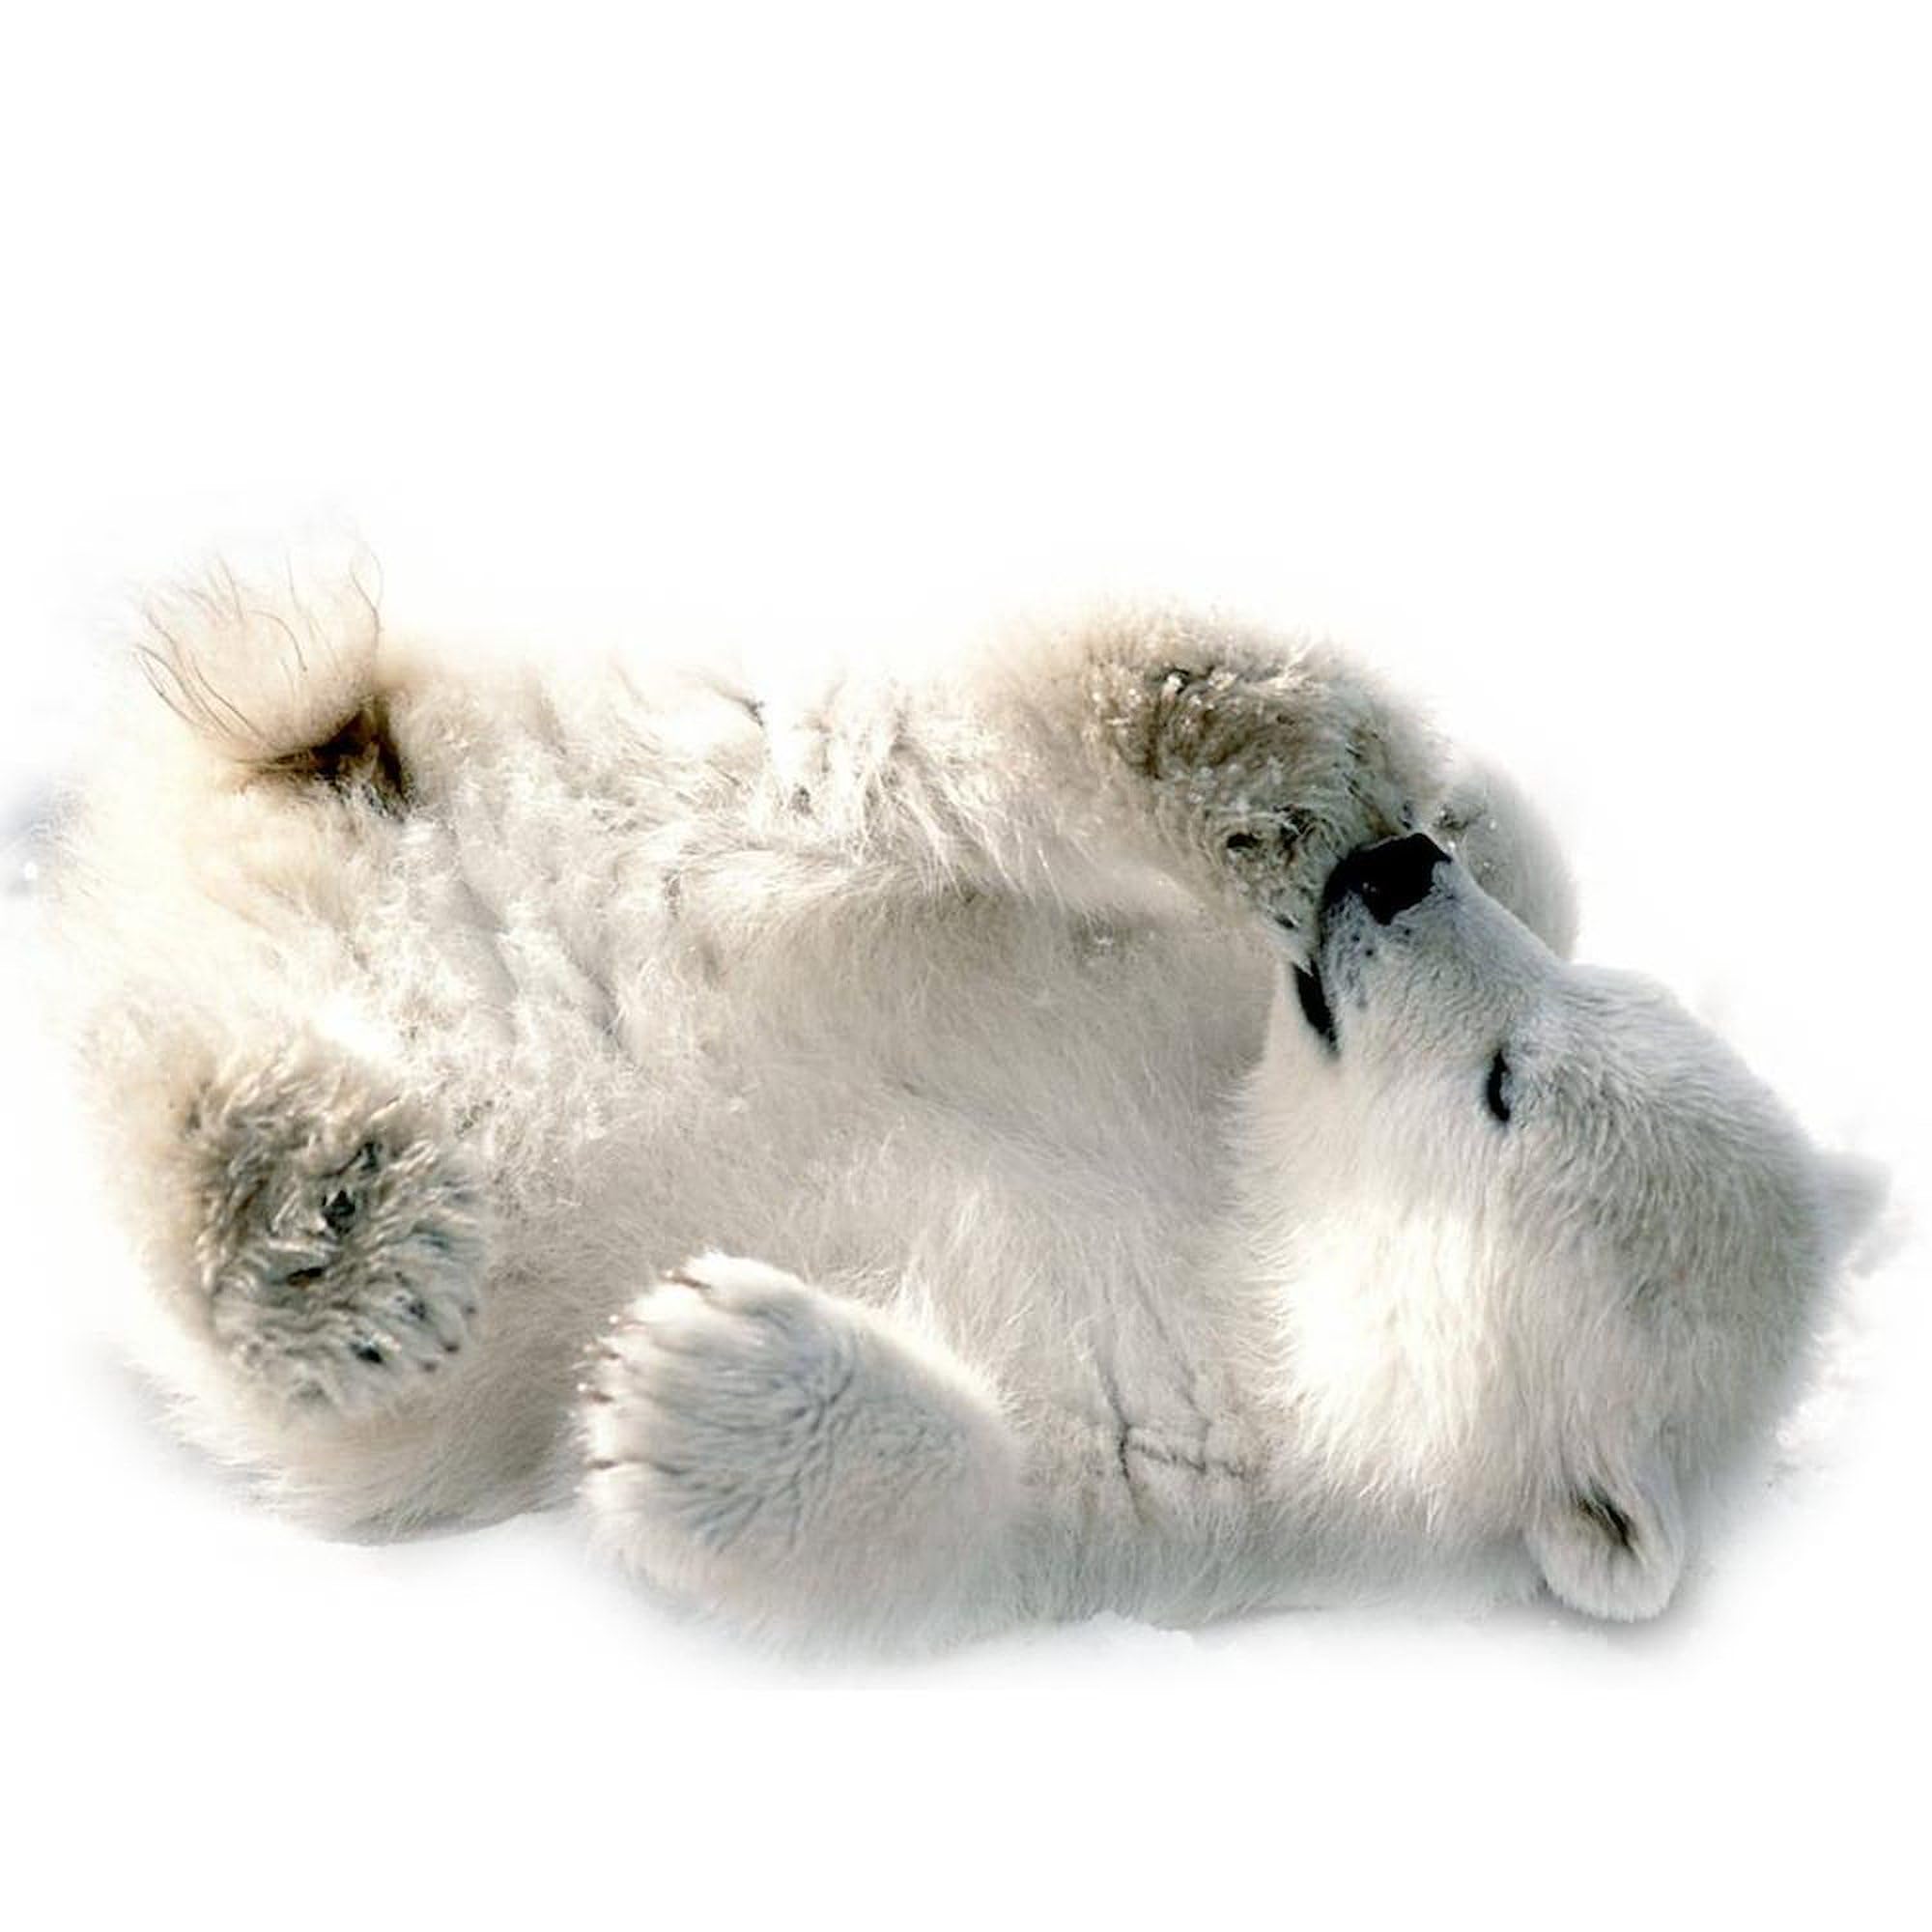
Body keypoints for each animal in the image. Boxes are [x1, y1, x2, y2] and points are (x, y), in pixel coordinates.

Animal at [45, 548, 1879, 1650]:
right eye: (1590, 1007)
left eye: (1508, 1089)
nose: (1393, 878)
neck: (1246, 1223)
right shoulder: (1185, 1012)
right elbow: (1489, 868)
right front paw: (1433, 805)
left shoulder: (1199, 1489)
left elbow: (953, 1533)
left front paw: (692, 1383)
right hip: (659, 782)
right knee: (875, 763)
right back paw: (1234, 733)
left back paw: (316, 1219)